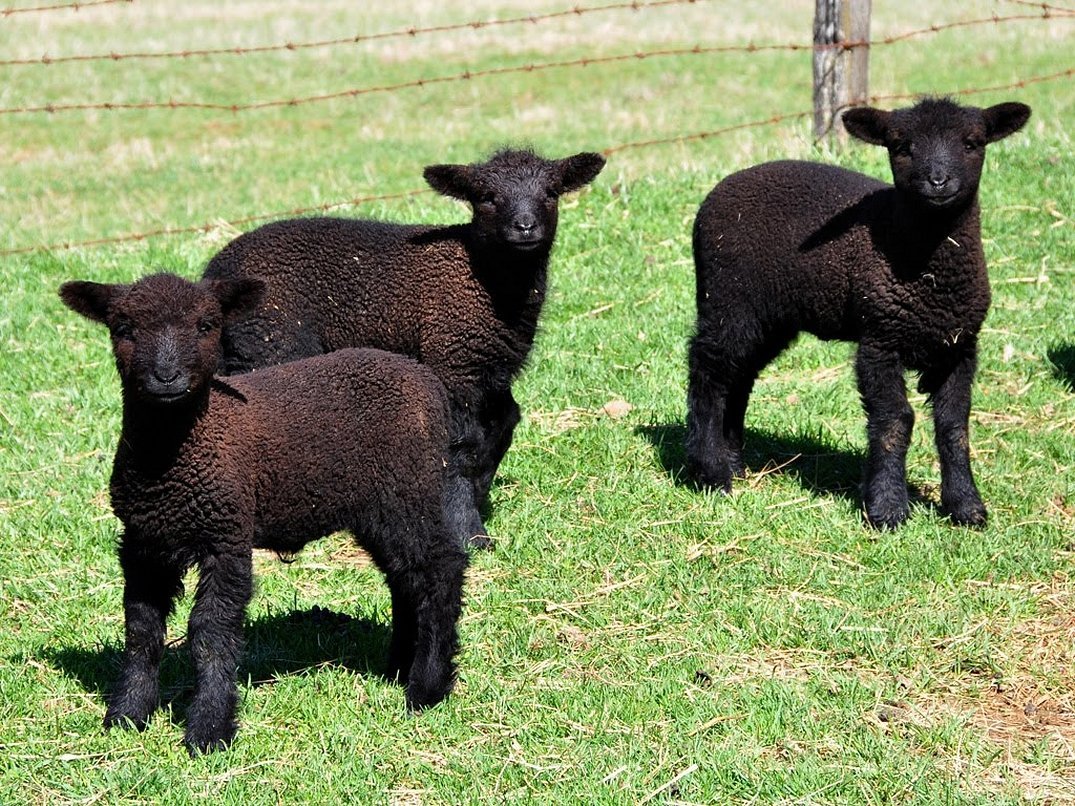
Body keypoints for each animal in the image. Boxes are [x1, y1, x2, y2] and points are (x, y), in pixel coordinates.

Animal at [58, 272, 468, 756]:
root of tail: (426, 380)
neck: (171, 463)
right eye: (123, 328)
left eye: (207, 325)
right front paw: (127, 714)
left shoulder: (227, 534)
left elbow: (211, 634)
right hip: (377, 506)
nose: (167, 378)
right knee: (406, 576)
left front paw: (209, 729)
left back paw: (427, 687)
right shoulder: (143, 542)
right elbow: (141, 629)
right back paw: (398, 667)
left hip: (409, 487)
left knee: (440, 569)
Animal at [202, 147, 606, 550]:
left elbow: (501, 428)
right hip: (269, 343)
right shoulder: (452, 363)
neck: (487, 280)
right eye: (486, 197)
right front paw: (469, 533)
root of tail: (213, 274)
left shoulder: (491, 370)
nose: (524, 227)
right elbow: (459, 446)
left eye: (551, 193)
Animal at [688, 97, 1032, 526]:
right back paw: (709, 472)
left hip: (768, 316)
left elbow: (954, 426)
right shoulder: (879, 340)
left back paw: (734, 462)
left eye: (973, 143)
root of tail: (717, 193)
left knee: (739, 375)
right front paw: (887, 507)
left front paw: (966, 506)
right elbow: (894, 421)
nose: (937, 182)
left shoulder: (959, 345)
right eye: (901, 146)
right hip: (727, 299)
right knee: (708, 371)